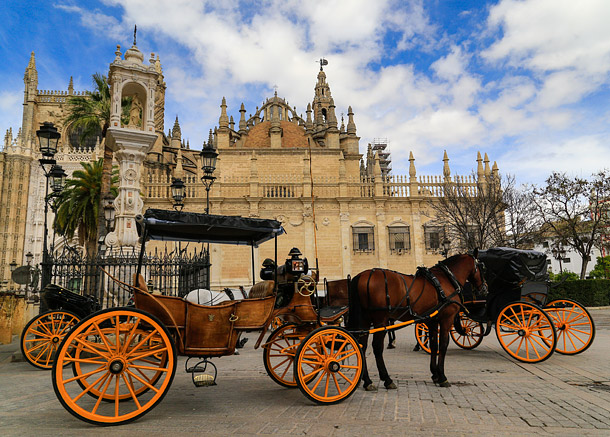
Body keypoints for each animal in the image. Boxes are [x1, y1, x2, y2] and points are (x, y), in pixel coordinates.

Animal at [350, 250, 486, 390]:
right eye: (482, 267)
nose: (485, 288)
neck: (446, 280)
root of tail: (361, 276)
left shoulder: (433, 321)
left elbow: (434, 345)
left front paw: (435, 374)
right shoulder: (446, 320)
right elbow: (443, 345)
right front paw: (442, 377)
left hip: (365, 321)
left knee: (362, 346)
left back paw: (367, 381)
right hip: (380, 321)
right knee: (377, 347)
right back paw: (387, 379)